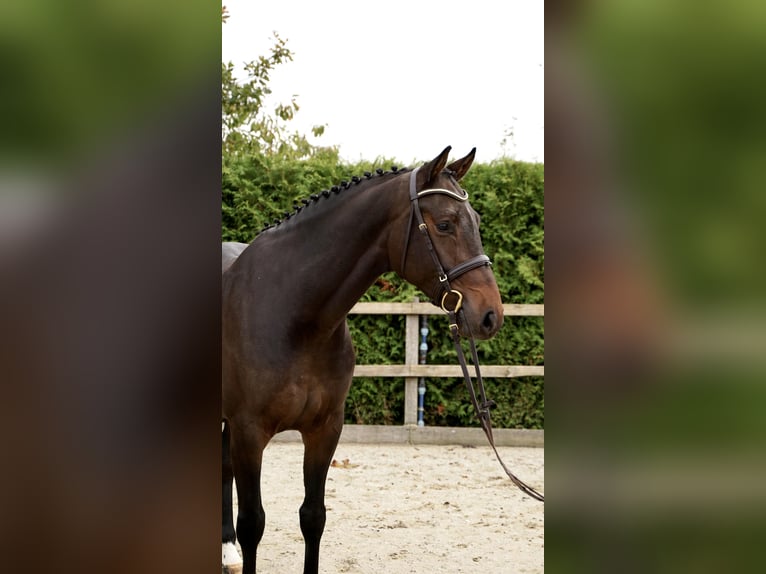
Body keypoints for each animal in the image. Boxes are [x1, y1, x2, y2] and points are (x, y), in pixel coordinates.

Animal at [222, 146, 504, 573]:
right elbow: (253, 522)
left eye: (478, 221)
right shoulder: (249, 432)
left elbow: (313, 517)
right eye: (444, 224)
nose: (490, 315)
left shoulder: (325, 430)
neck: (292, 314)